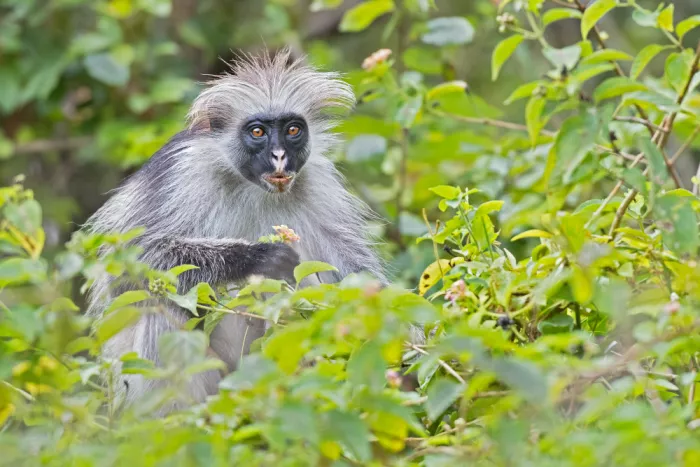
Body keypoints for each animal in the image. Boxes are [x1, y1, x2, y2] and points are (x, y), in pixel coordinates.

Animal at [84, 49, 394, 412]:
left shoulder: (318, 182)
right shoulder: (181, 171)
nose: (279, 156)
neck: (252, 187)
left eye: (293, 130)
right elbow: (128, 269)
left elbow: (356, 274)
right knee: (167, 299)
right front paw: (259, 257)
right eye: (258, 132)